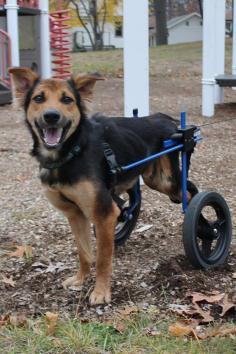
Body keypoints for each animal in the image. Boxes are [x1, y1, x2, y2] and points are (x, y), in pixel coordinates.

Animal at [9, 68, 196, 306]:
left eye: (67, 99)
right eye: (39, 98)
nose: (51, 116)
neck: (72, 152)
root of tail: (165, 119)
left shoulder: (104, 214)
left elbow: (102, 259)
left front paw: (100, 292)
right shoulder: (76, 214)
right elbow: (84, 253)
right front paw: (79, 279)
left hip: (166, 181)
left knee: (191, 194)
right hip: (151, 178)